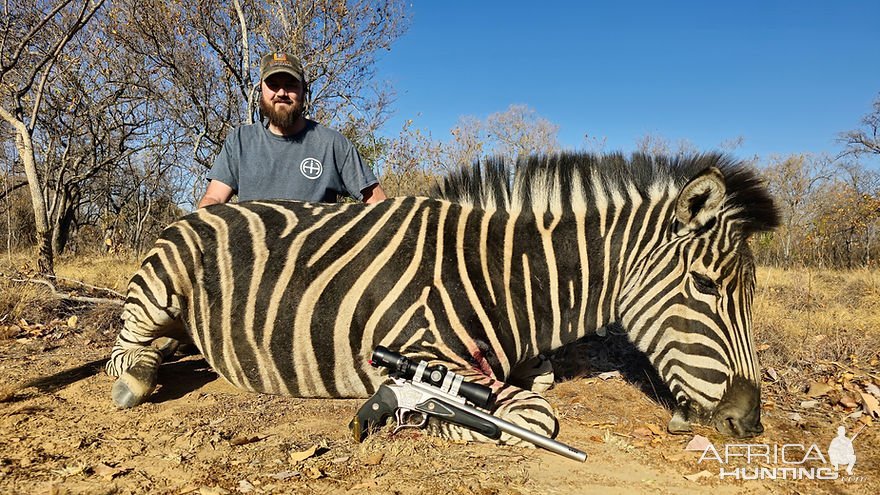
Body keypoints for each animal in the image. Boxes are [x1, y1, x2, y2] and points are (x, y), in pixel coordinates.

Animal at [108, 153, 776, 444]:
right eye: (707, 287)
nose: (749, 421)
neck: (506, 278)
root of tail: (201, 210)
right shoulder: (425, 354)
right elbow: (532, 415)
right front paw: (452, 426)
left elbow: (540, 380)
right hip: (160, 282)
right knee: (127, 345)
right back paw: (135, 379)